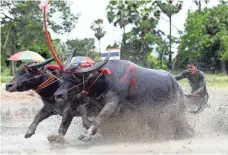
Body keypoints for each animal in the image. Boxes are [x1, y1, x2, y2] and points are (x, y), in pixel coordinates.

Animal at [54, 56, 189, 142]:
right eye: (63, 76)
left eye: (73, 78)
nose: (57, 95)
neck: (105, 80)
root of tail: (177, 84)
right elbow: (72, 118)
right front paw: (57, 137)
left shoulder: (113, 102)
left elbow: (98, 119)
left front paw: (87, 134)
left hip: (177, 111)